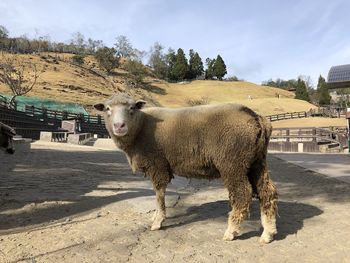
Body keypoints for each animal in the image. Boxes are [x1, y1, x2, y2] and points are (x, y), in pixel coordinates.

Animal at [94, 94, 278, 244]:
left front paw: (158, 221)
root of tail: (256, 117)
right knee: (267, 192)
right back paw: (267, 233)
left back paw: (231, 231)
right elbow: (157, 194)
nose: (119, 126)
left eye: (132, 108)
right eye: (107, 109)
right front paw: (155, 216)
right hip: (256, 162)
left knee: (242, 193)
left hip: (233, 162)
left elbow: (159, 193)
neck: (140, 128)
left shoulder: (157, 164)